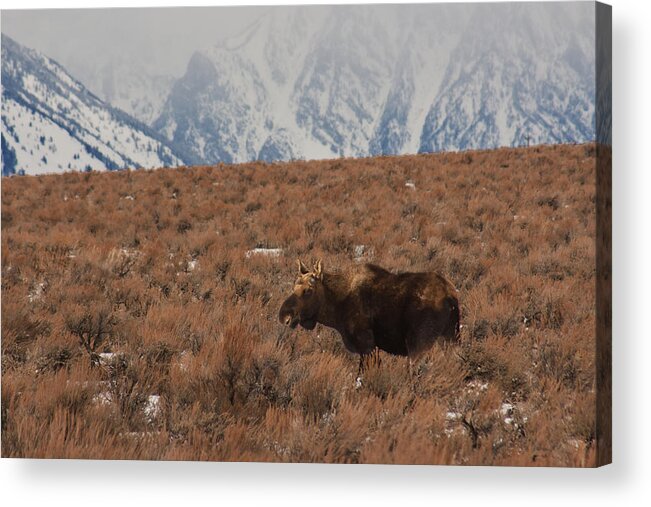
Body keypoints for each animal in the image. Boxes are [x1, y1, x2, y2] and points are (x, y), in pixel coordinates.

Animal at [278, 262, 460, 374]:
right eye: (294, 286)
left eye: (308, 290)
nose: (284, 315)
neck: (336, 306)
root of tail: (451, 297)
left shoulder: (366, 344)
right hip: (450, 338)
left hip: (419, 344)